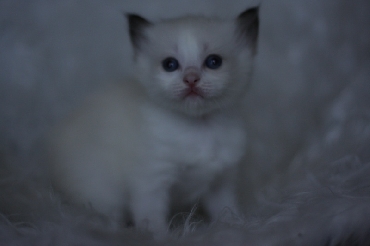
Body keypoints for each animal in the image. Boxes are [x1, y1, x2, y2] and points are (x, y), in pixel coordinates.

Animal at [46, 6, 258, 235]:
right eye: (170, 65)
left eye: (213, 62)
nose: (191, 79)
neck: (200, 126)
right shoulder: (151, 181)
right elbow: (151, 216)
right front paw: (159, 236)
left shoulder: (221, 181)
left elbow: (226, 209)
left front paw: (235, 226)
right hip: (99, 194)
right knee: (104, 215)